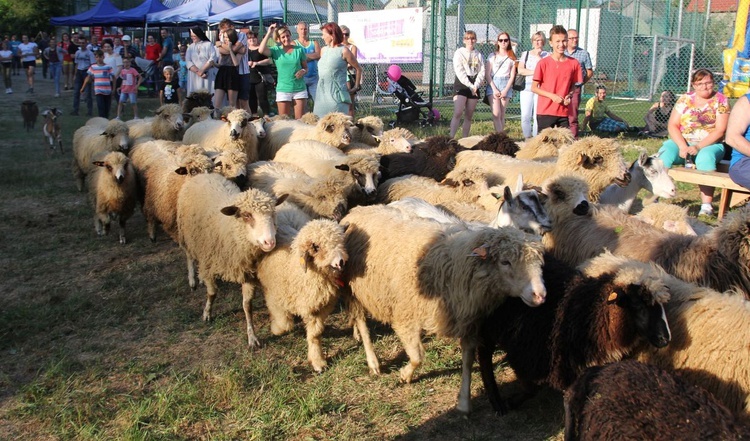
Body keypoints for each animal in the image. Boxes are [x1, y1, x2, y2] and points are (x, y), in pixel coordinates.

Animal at [178, 172, 286, 348]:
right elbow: (212, 293)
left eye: (272, 214)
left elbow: (247, 305)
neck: (231, 230)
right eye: (246, 215)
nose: (269, 242)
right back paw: (193, 279)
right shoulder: (208, 263)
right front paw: (207, 313)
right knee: (188, 255)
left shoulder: (247, 272)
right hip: (186, 233)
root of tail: (204, 174)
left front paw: (252, 337)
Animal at [258, 218, 348, 370]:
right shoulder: (273, 297)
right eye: (316, 247)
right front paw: (276, 328)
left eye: (341, 241)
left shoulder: (317, 308)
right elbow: (285, 324)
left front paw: (317, 361)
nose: (340, 262)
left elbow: (315, 334)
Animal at [342, 205, 548, 414]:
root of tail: (358, 209)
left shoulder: (469, 321)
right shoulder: (406, 316)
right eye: (505, 262)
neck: (456, 267)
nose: (540, 295)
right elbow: (417, 356)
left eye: (539, 263)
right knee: (362, 323)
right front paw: (405, 375)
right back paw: (373, 362)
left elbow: (468, 361)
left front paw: (464, 402)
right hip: (353, 290)